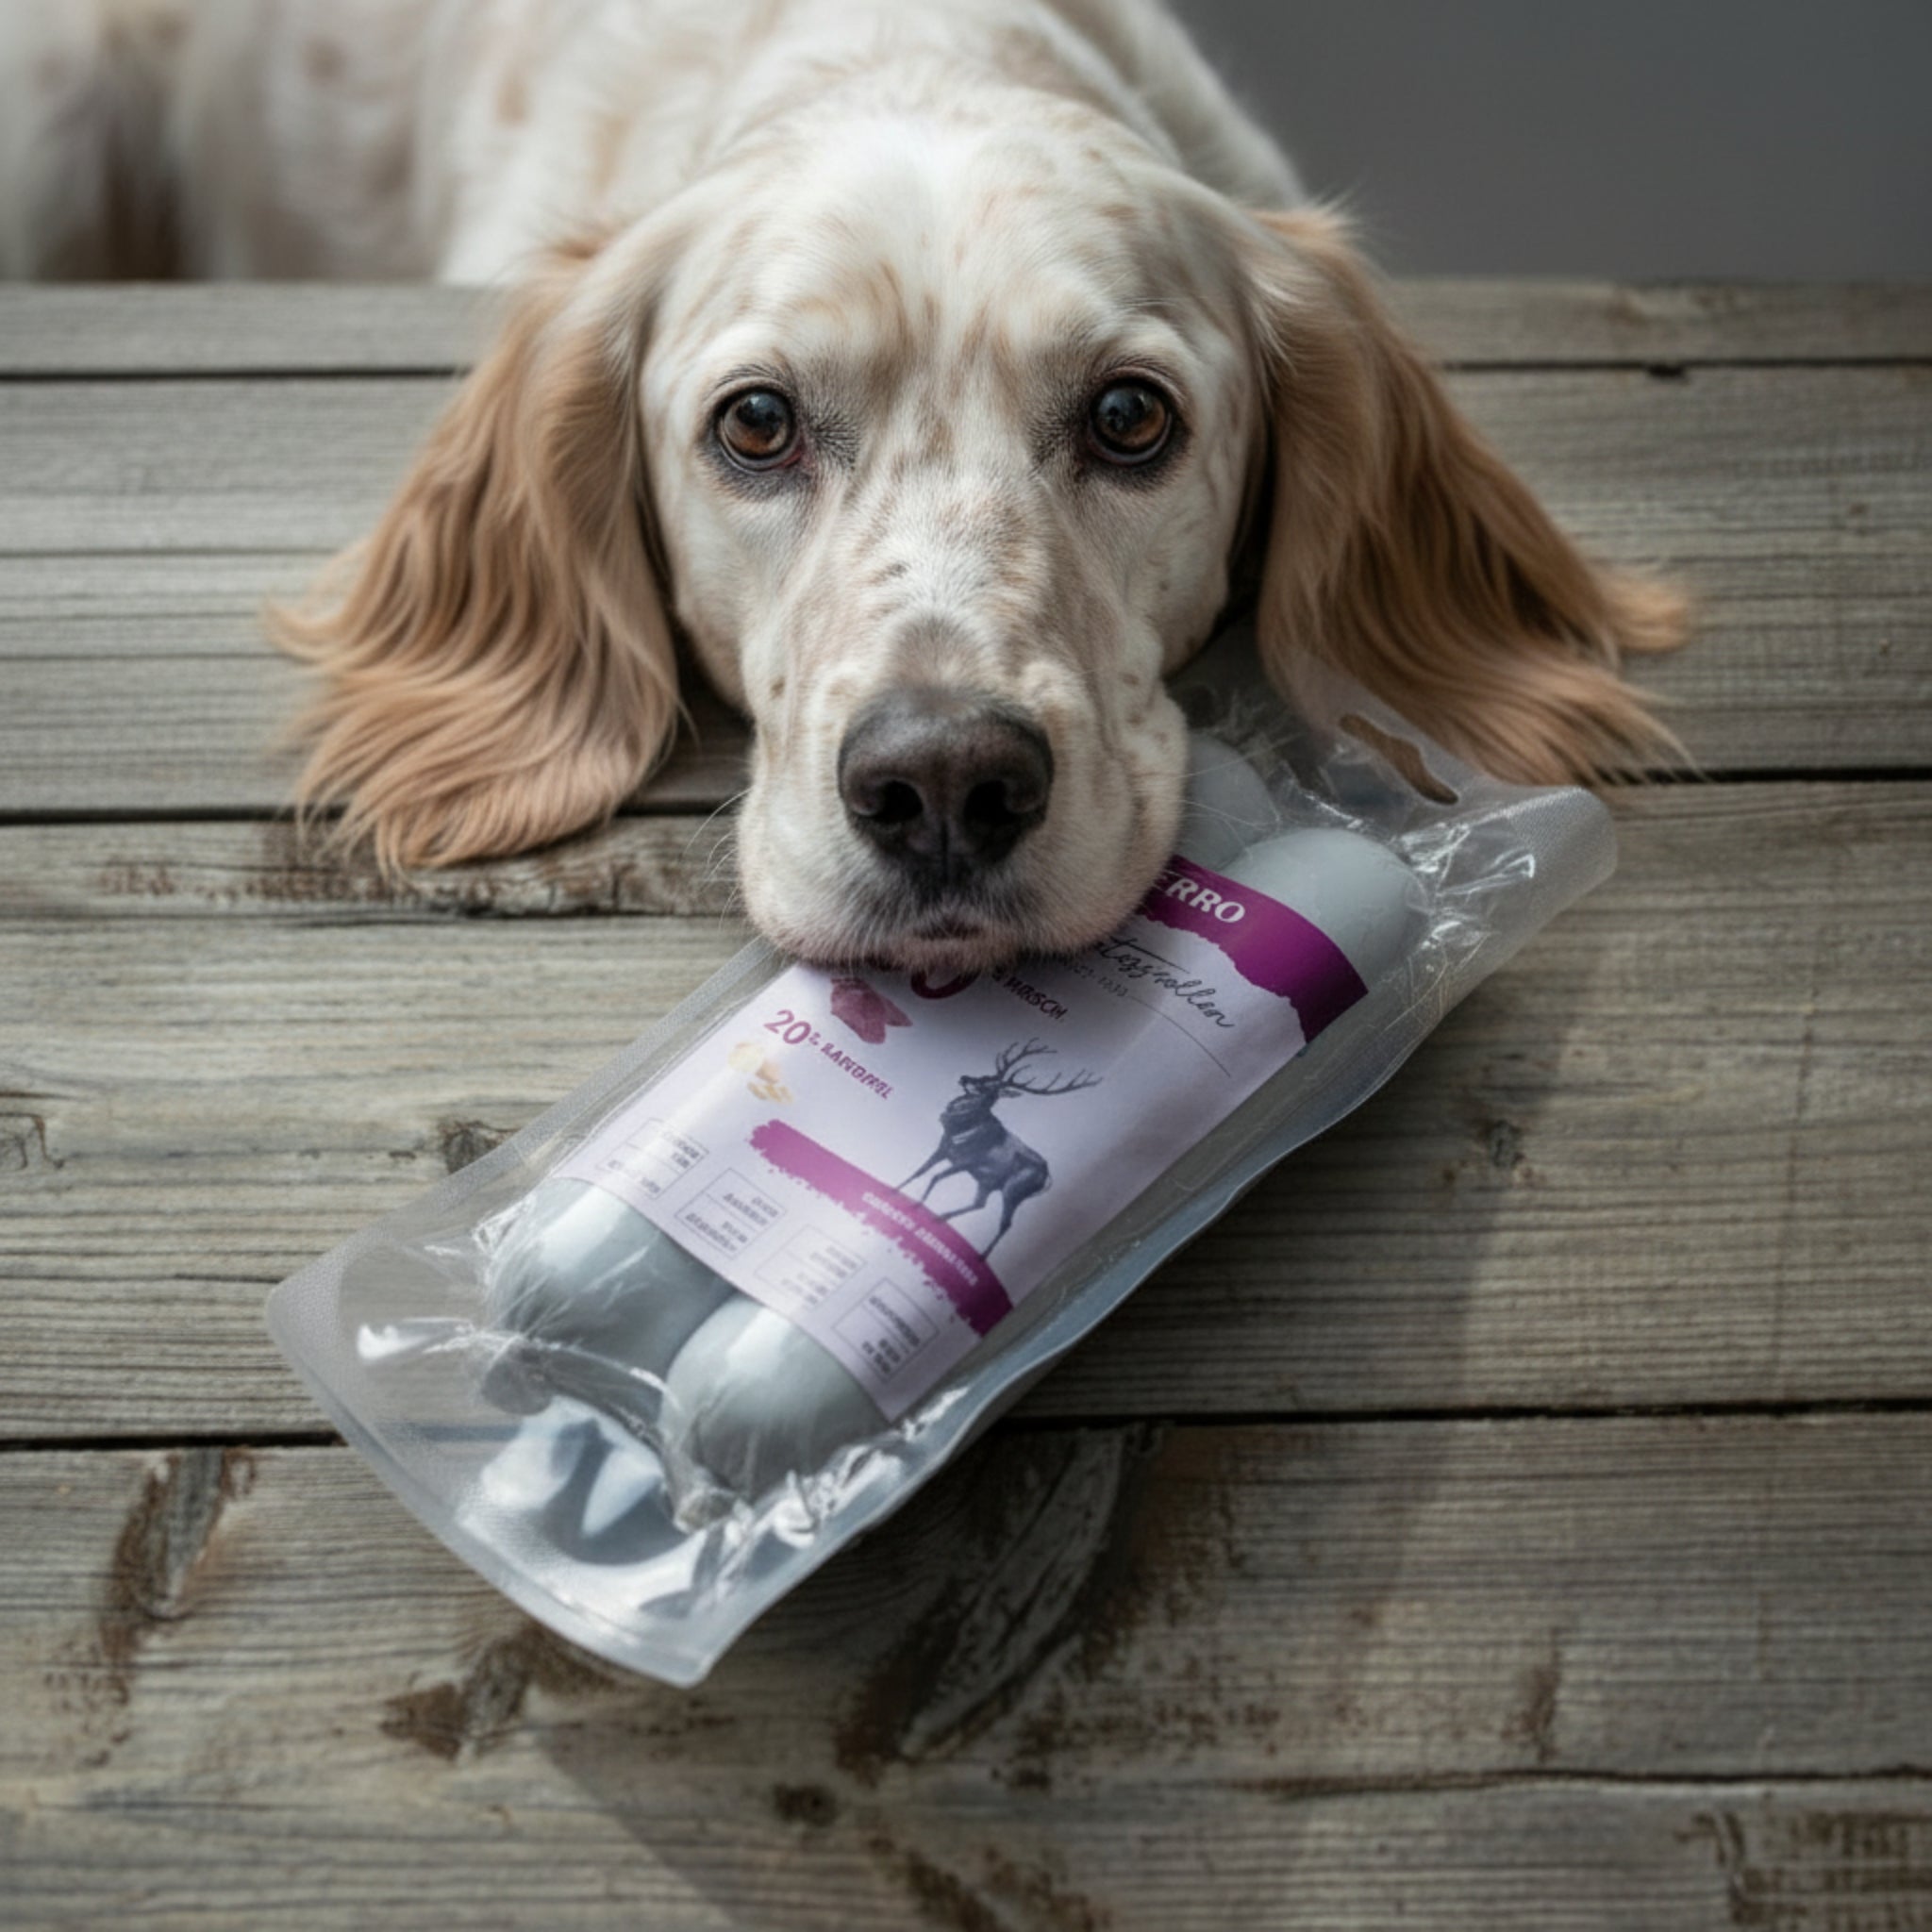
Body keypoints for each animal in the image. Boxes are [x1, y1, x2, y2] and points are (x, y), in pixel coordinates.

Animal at [898, 1041, 1102, 1259]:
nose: (964, 1077)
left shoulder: (967, 1162)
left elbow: (935, 1177)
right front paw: (895, 1190)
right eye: (986, 1077)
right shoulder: (943, 1150)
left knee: (1006, 1223)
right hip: (988, 1182)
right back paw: (941, 1218)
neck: (961, 1129)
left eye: (987, 1085)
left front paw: (914, 1205)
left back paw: (981, 1255)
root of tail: (1047, 1177)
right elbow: (919, 1172)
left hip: (1013, 1190)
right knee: (979, 1204)